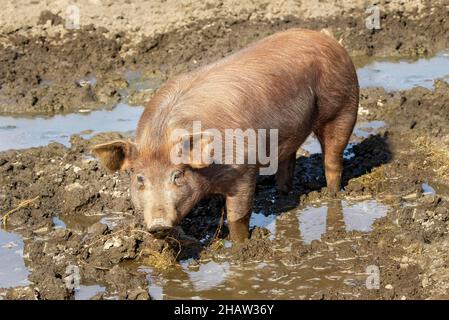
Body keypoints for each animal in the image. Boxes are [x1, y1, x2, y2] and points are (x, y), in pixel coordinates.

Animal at [93, 28, 358, 242]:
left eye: (177, 175)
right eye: (140, 179)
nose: (158, 224)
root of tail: (327, 37)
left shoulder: (243, 168)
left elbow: (237, 216)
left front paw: (242, 248)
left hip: (344, 106)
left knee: (333, 161)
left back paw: (333, 196)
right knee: (287, 166)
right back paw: (285, 199)